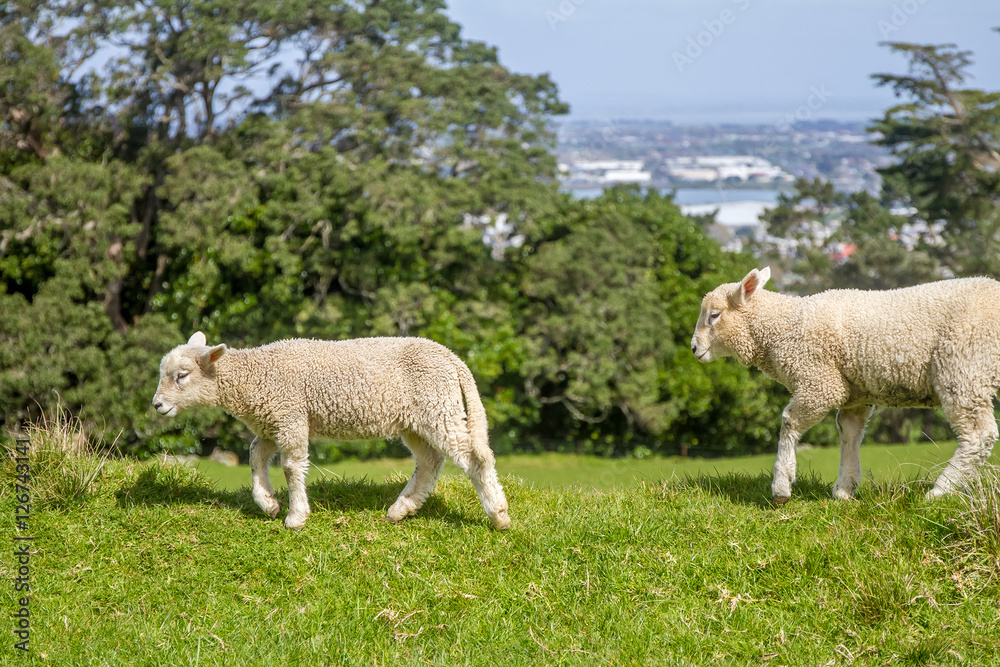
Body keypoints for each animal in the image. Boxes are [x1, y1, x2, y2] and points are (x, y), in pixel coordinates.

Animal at [152, 334, 512, 532]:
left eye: (182, 375)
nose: (156, 405)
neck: (254, 377)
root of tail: (453, 359)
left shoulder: (290, 415)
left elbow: (291, 467)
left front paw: (296, 516)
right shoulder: (273, 420)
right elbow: (255, 457)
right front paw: (268, 503)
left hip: (438, 405)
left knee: (474, 458)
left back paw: (498, 515)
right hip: (417, 419)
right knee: (429, 460)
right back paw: (401, 509)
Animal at [692, 268, 1000, 504]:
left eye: (714, 315)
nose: (694, 348)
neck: (783, 328)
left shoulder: (819, 382)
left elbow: (789, 422)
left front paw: (781, 485)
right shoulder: (855, 395)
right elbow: (848, 433)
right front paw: (844, 488)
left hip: (964, 366)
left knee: (978, 435)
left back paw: (940, 491)